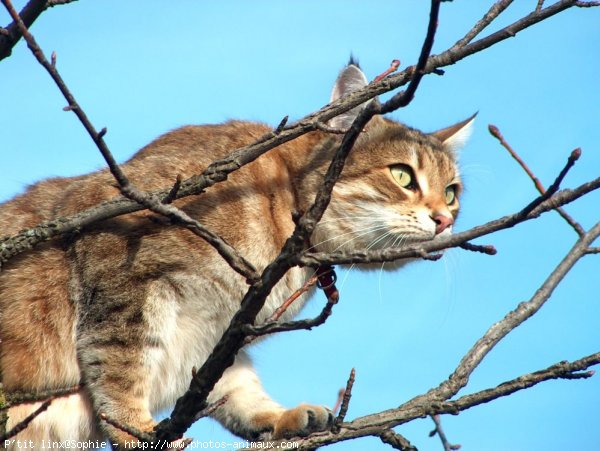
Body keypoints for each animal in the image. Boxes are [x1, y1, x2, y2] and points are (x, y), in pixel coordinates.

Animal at [0, 62, 474, 448]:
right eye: (403, 175)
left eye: (452, 192)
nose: (443, 220)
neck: (285, 198)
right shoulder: (123, 273)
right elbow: (121, 369)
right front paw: (138, 430)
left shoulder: (219, 334)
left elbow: (236, 387)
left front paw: (278, 416)